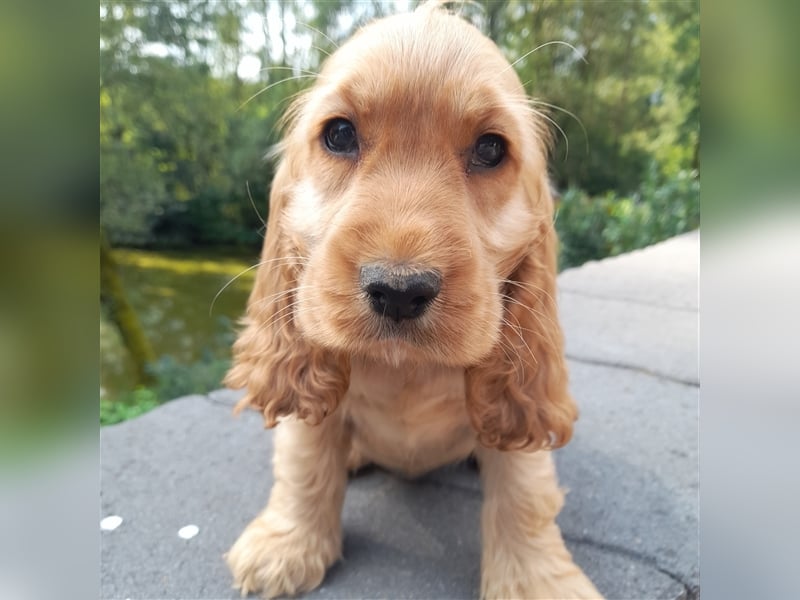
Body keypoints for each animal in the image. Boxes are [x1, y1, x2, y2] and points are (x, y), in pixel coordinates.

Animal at [223, 2, 600, 596]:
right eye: (339, 135)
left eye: (491, 148)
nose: (399, 291)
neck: (407, 370)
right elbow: (304, 464)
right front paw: (285, 547)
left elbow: (525, 493)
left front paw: (539, 581)